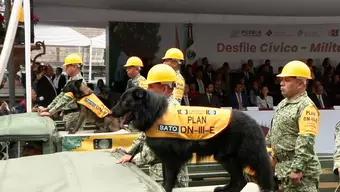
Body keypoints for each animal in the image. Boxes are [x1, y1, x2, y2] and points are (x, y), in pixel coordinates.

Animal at [111, 87, 274, 192]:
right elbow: (166, 178)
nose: (111, 112)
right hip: (225, 157)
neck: (154, 113)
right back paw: (224, 189)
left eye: (124, 102)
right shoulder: (166, 159)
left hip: (233, 156)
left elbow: (168, 180)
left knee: (249, 178)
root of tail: (255, 124)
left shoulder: (171, 160)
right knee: (240, 180)